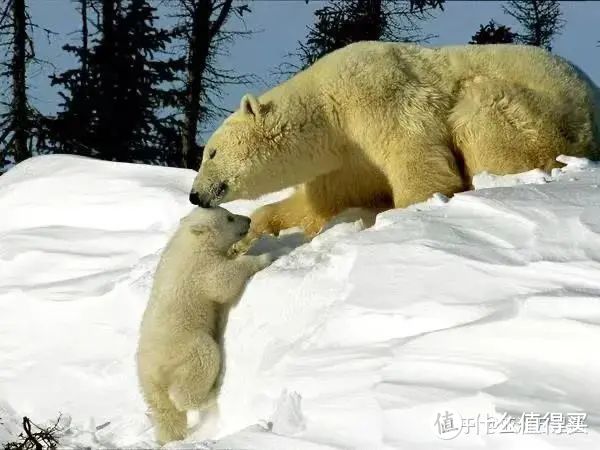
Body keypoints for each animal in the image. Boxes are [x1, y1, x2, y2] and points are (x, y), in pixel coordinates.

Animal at [189, 42, 600, 237]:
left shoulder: (379, 98)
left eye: (212, 152)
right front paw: (262, 225)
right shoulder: (347, 160)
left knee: (480, 110)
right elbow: (326, 201)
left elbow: (417, 159)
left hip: (536, 115)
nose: (195, 195)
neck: (329, 107)